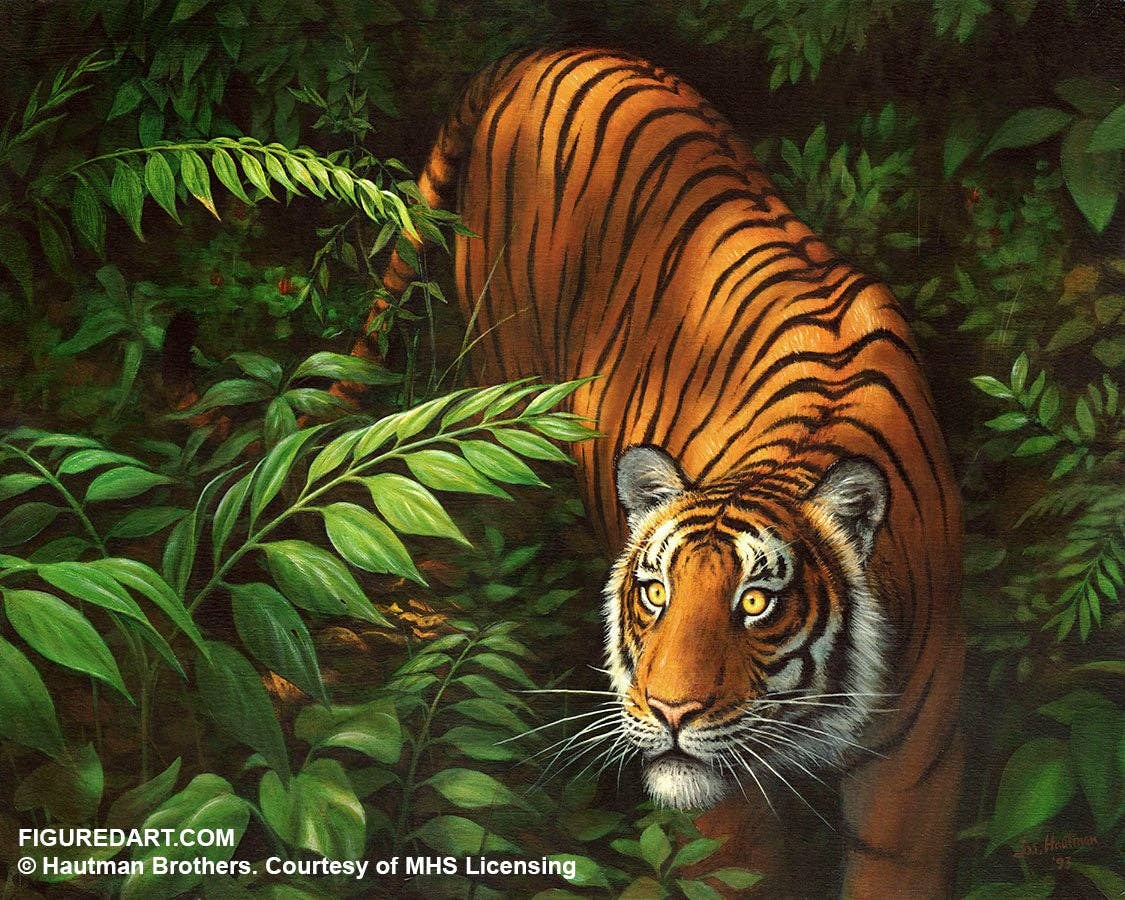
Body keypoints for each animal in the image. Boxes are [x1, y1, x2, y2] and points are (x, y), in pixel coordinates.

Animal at [339, 47, 964, 898]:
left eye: (756, 603)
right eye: (656, 594)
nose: (669, 713)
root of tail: (545, 52)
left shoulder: (914, 773)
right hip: (503, 400)